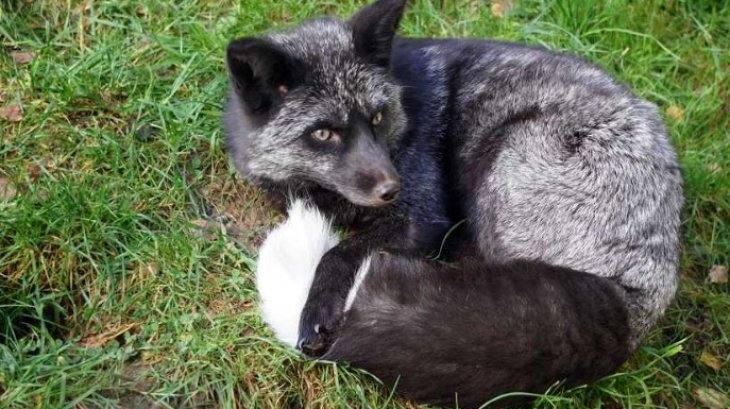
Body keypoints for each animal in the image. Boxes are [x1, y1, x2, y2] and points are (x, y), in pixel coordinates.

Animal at [224, 0, 684, 407]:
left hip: (505, 157)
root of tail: (637, 301)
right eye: (323, 133)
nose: (392, 187)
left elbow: (339, 253)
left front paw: (318, 307)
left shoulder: (423, 217)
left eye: (376, 117)